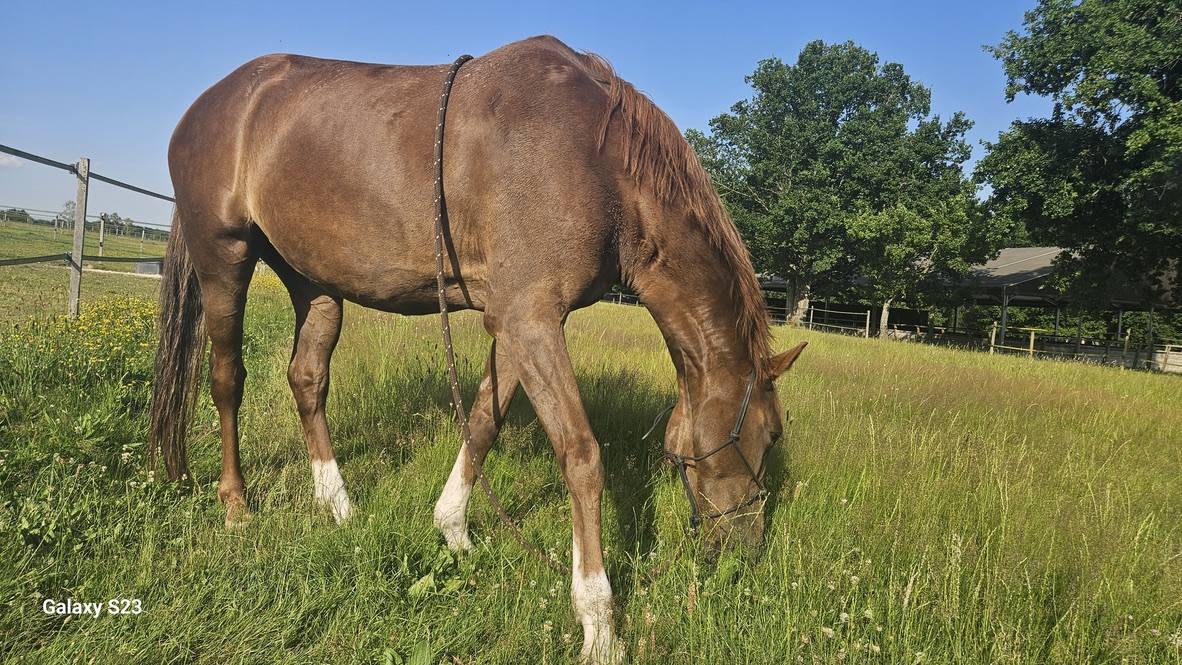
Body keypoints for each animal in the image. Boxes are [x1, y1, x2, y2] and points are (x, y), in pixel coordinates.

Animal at [149, 35, 806, 663]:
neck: (595, 158)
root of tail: (209, 104)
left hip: (313, 283)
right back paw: (236, 505)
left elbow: (485, 421)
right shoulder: (530, 319)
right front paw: (598, 624)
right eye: (771, 434)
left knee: (306, 379)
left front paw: (454, 530)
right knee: (226, 379)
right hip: (224, 259)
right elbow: (582, 457)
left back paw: (338, 506)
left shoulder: (515, 323)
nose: (746, 551)